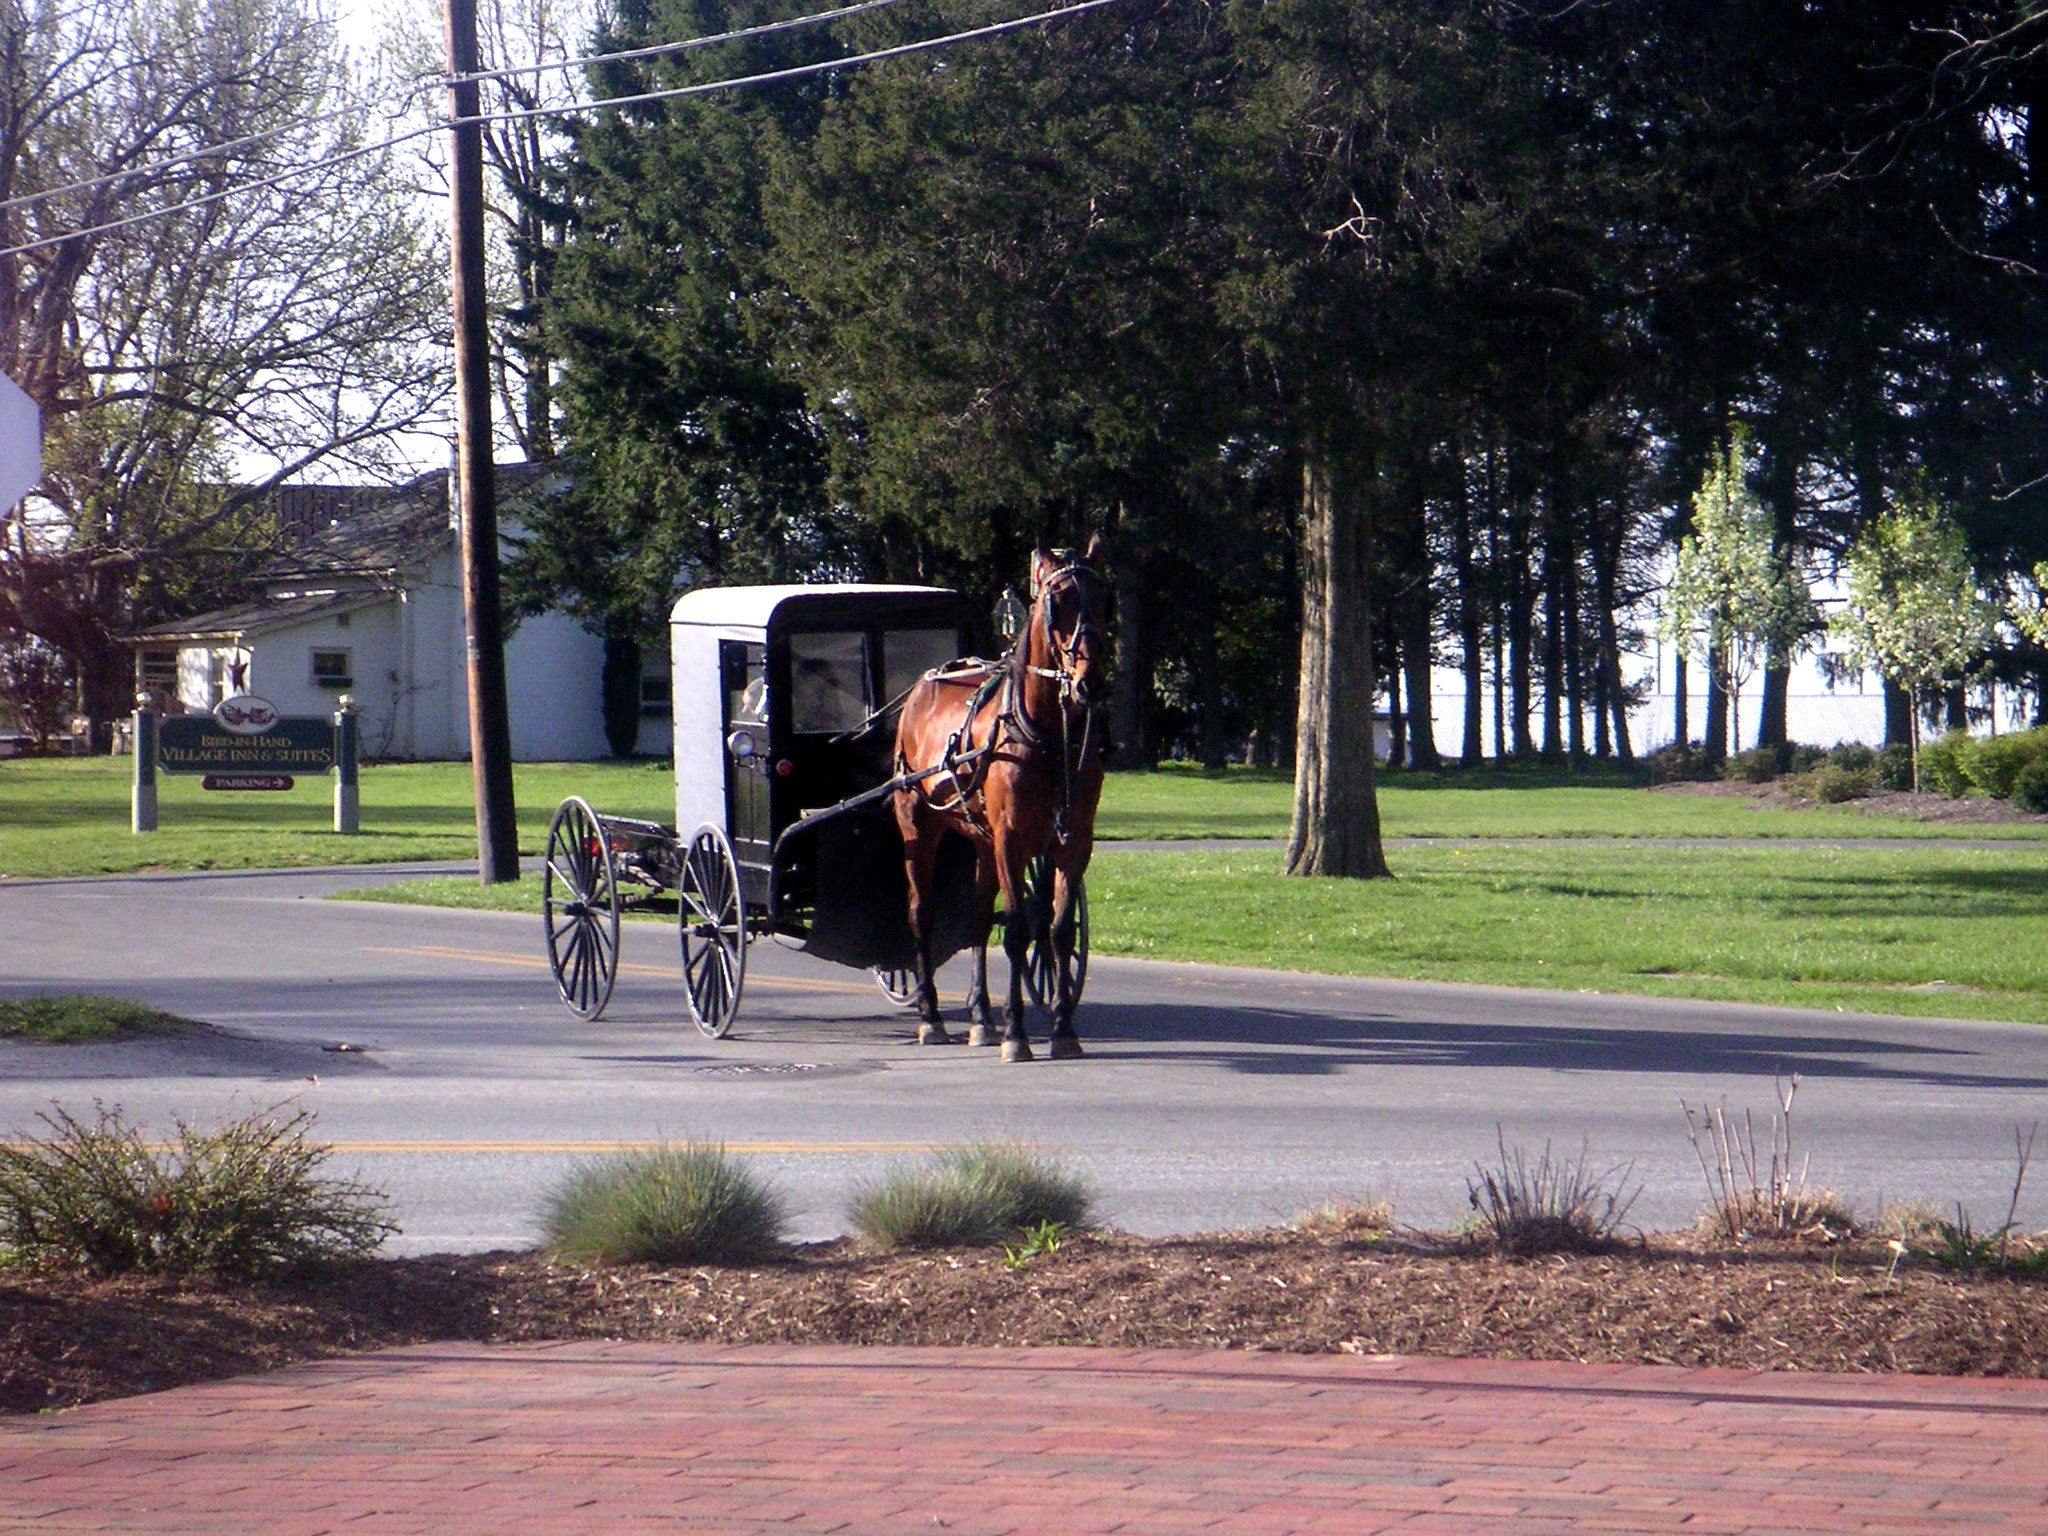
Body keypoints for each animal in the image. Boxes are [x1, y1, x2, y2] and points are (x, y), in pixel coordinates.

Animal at [897, 536, 1114, 1056]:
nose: (1091, 682)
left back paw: (980, 1016)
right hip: (918, 825)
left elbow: (1057, 930)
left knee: (977, 916)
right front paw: (1016, 1032)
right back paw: (931, 1016)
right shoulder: (1011, 840)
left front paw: (1062, 1028)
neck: (1047, 736)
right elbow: (1016, 929)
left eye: (1104, 599)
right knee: (921, 913)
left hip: (981, 840)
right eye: (1058, 601)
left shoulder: (1074, 842)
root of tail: (922, 686)